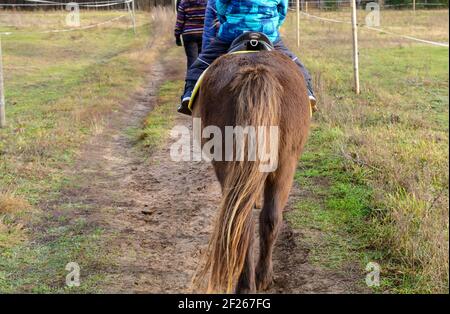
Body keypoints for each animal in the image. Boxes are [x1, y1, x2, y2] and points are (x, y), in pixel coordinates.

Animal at [192, 50, 312, 294]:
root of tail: (256, 73)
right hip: (284, 163)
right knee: (260, 219)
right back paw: (258, 279)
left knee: (248, 222)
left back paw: (251, 282)